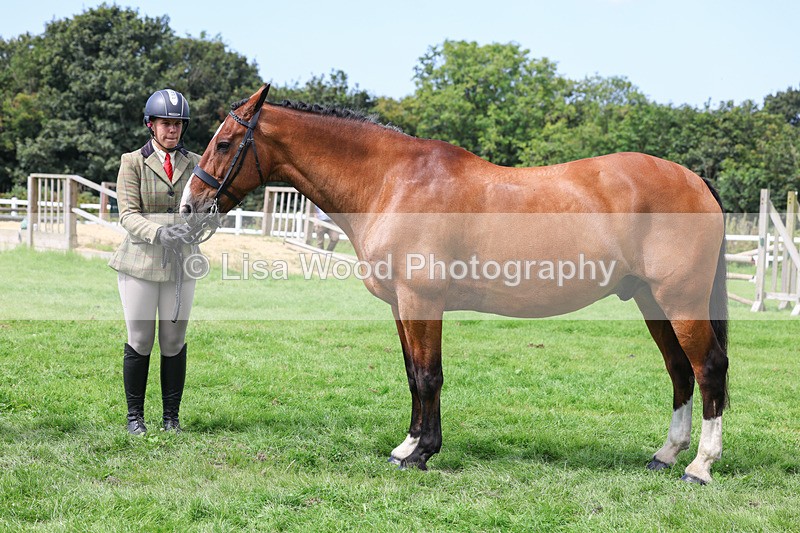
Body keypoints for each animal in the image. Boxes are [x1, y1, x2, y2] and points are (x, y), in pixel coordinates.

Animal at [180, 85, 729, 484]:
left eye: (224, 143)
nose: (188, 206)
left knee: (708, 369)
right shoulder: (401, 305)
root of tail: (694, 180)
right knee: (680, 372)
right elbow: (412, 375)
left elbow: (429, 376)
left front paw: (422, 453)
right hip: (650, 301)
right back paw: (665, 455)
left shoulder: (423, 301)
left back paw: (699, 466)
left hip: (680, 301)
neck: (393, 182)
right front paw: (407, 445)